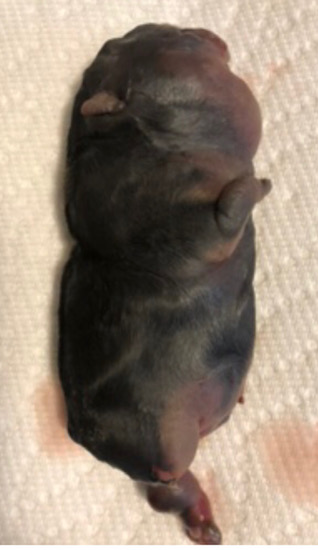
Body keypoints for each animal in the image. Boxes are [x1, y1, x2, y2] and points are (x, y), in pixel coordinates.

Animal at [59, 23, 270, 544]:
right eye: (171, 45)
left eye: (115, 47)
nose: (162, 24)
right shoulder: (188, 228)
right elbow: (228, 211)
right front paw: (255, 187)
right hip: (168, 445)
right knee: (168, 488)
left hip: (165, 465)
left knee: (168, 492)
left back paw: (204, 525)